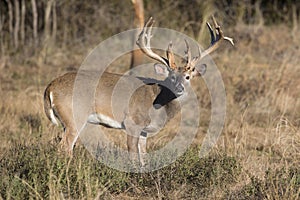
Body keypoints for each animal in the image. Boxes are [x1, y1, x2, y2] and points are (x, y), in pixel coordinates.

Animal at [43, 17, 233, 165]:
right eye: (171, 76)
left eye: (188, 77)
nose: (179, 88)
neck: (158, 103)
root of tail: (50, 87)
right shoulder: (132, 123)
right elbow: (133, 156)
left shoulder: (144, 131)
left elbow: (144, 157)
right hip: (75, 116)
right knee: (65, 147)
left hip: (66, 121)